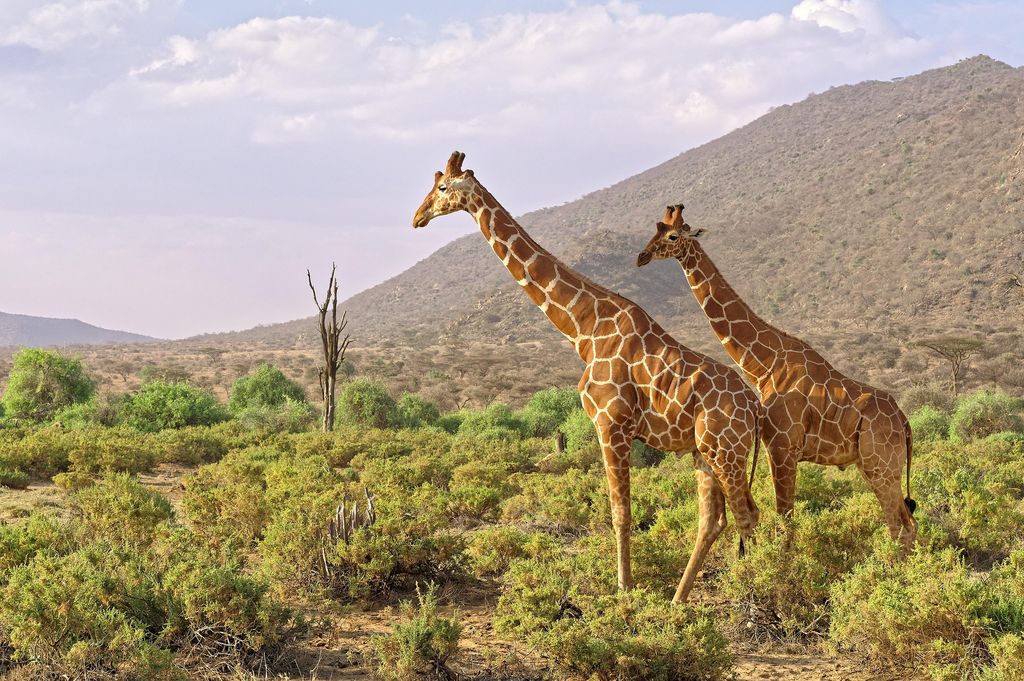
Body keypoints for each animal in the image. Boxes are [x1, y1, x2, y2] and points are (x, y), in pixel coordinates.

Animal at [413, 152, 762, 602]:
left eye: (442, 187)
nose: (417, 217)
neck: (584, 329)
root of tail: (755, 407)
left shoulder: (610, 424)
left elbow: (620, 513)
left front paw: (624, 590)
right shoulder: (616, 428)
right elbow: (622, 511)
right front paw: (630, 588)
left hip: (726, 451)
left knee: (747, 513)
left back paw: (758, 593)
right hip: (704, 451)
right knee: (715, 519)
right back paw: (678, 600)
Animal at [636, 205, 917, 554]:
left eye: (673, 236)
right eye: (655, 229)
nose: (642, 257)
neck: (765, 364)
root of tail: (904, 421)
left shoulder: (782, 446)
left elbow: (786, 520)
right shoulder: (779, 448)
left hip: (881, 463)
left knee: (900, 525)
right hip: (871, 464)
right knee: (906, 522)